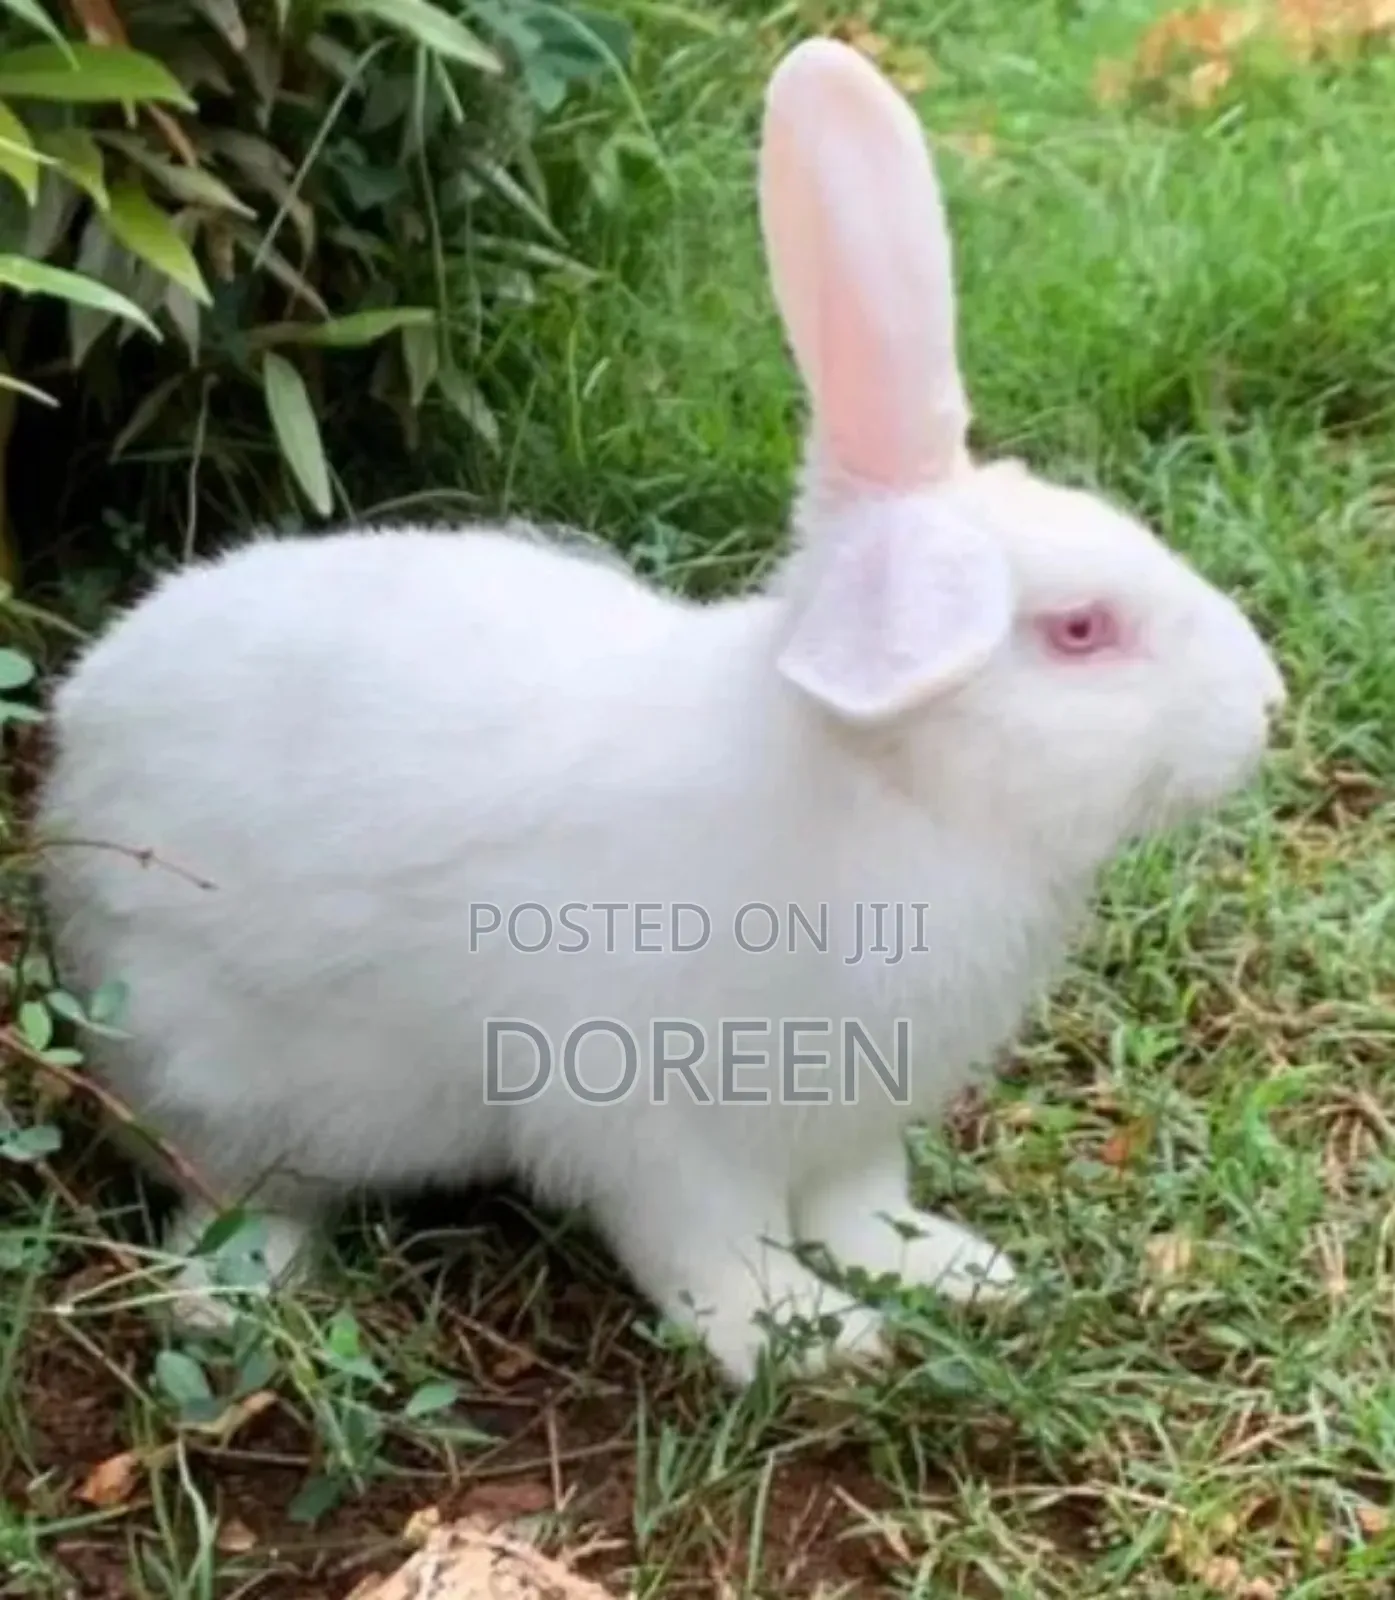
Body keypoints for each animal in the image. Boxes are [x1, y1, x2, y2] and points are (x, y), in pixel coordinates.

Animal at [35, 37, 1285, 1387]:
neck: (889, 793)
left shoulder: (850, 1125)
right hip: (220, 1075)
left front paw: (950, 1272)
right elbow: (710, 1248)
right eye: (1080, 633)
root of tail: (81, 723)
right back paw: (232, 1301)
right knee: (227, 1195)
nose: (1267, 706)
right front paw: (807, 1337)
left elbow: (861, 1208)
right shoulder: (661, 1123)